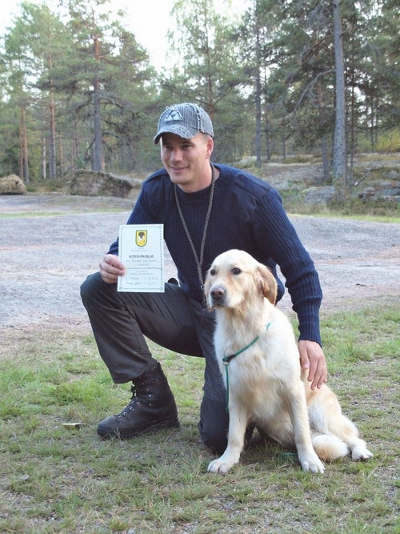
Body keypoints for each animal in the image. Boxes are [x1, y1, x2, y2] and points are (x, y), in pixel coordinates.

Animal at [205, 249, 373, 475]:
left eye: (236, 271)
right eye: (213, 272)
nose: (215, 293)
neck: (244, 329)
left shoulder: (293, 391)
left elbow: (302, 434)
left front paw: (310, 460)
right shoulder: (237, 393)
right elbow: (234, 435)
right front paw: (227, 460)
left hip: (322, 415)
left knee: (350, 437)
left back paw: (360, 452)